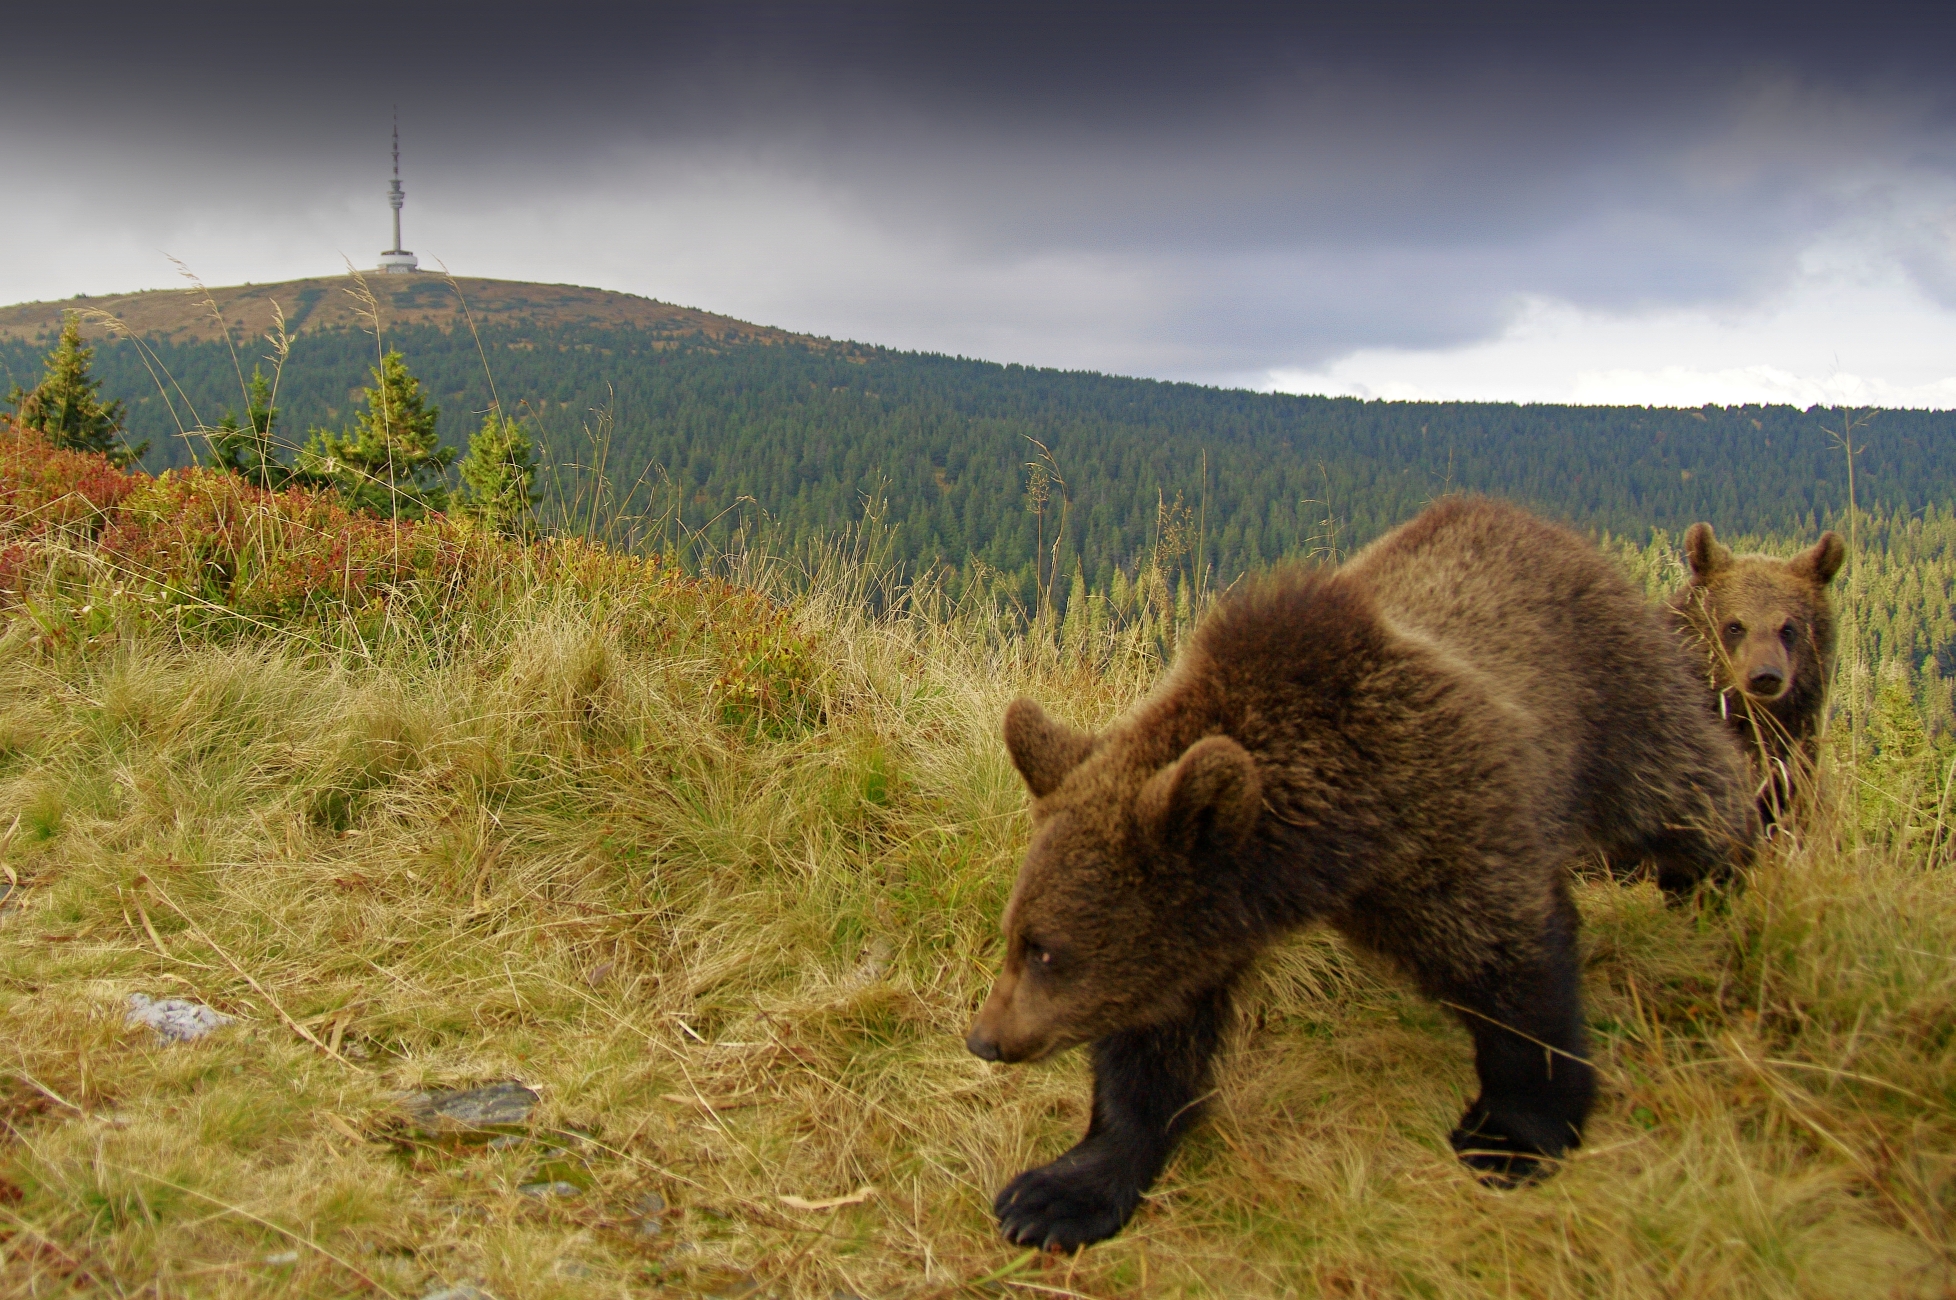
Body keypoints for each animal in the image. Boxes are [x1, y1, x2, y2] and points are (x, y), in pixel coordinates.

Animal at [970, 494, 1752, 1251]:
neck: (1338, 837)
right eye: (1014, 935)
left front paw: (1509, 1135)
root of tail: (1543, 522)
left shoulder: (1447, 825)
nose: (985, 1039)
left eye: (1047, 950)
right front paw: (1056, 1194)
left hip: (1621, 695)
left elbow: (1517, 978)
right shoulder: (1208, 928)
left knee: (1689, 795)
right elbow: (1150, 1049)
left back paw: (1730, 872)